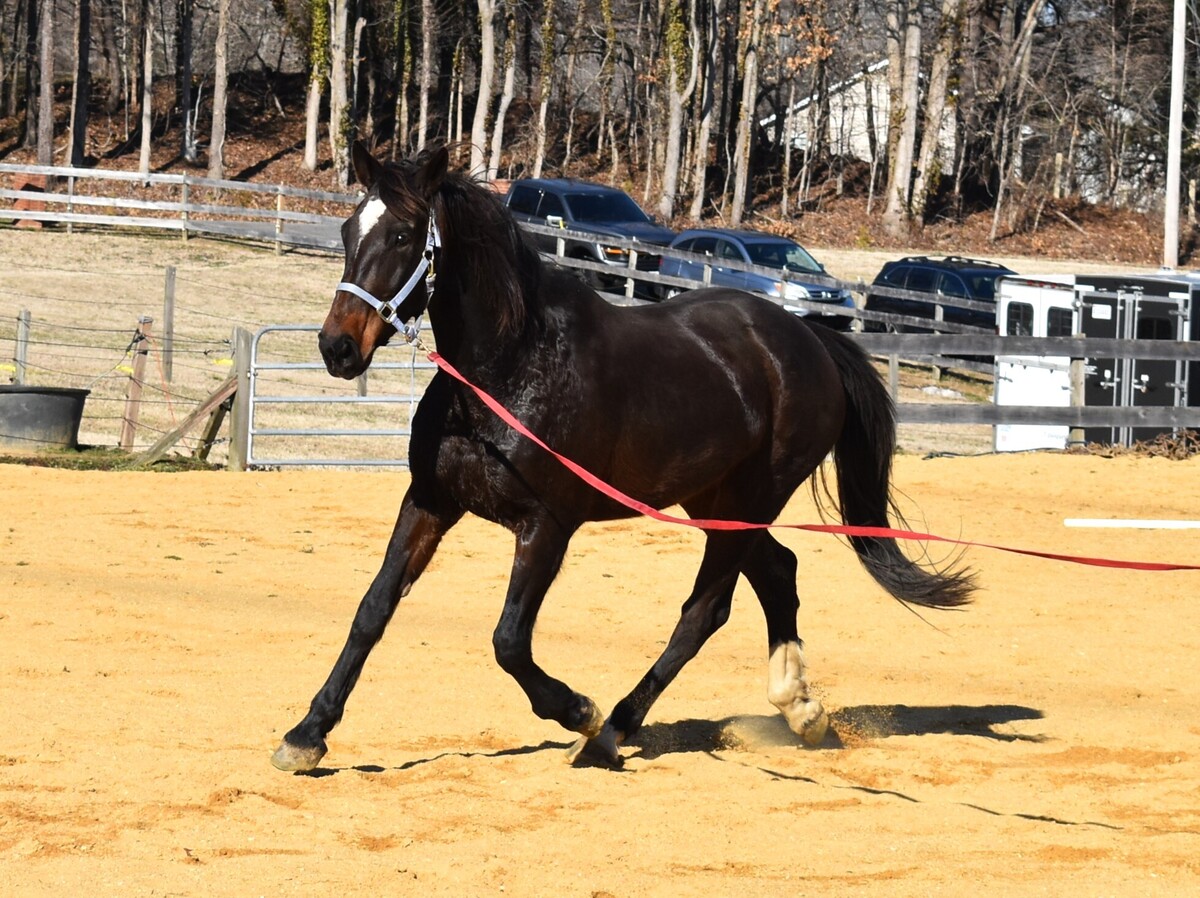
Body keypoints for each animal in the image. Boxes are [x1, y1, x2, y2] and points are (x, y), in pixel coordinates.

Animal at [270, 142, 974, 773]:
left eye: (402, 235)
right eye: (347, 230)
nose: (336, 347)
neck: (508, 369)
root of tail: (809, 338)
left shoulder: (547, 525)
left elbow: (508, 641)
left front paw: (576, 709)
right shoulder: (431, 501)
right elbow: (372, 611)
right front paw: (307, 735)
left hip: (749, 502)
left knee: (705, 612)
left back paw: (610, 731)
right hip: (715, 501)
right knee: (778, 572)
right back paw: (800, 709)